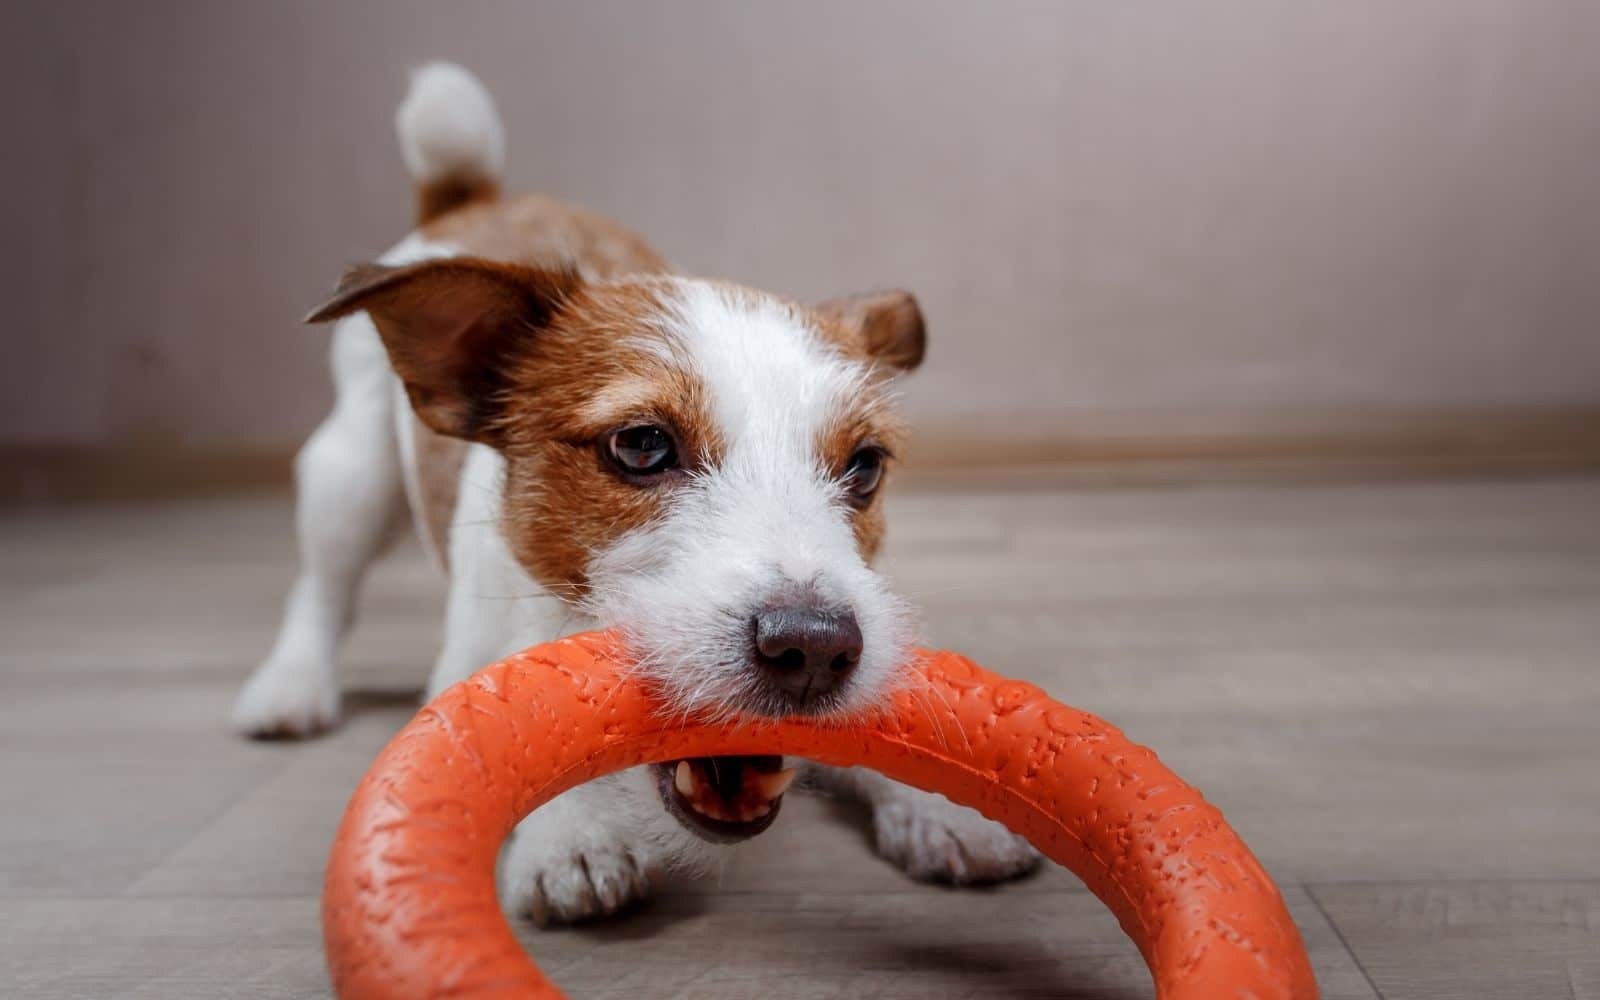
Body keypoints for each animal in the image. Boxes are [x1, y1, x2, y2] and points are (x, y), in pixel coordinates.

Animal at [233, 60, 1036, 921]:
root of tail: (478, 197)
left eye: (865, 465)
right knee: (323, 586)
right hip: (351, 477)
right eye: (642, 445)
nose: (817, 648)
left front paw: (943, 804)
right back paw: (290, 685)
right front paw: (571, 832)